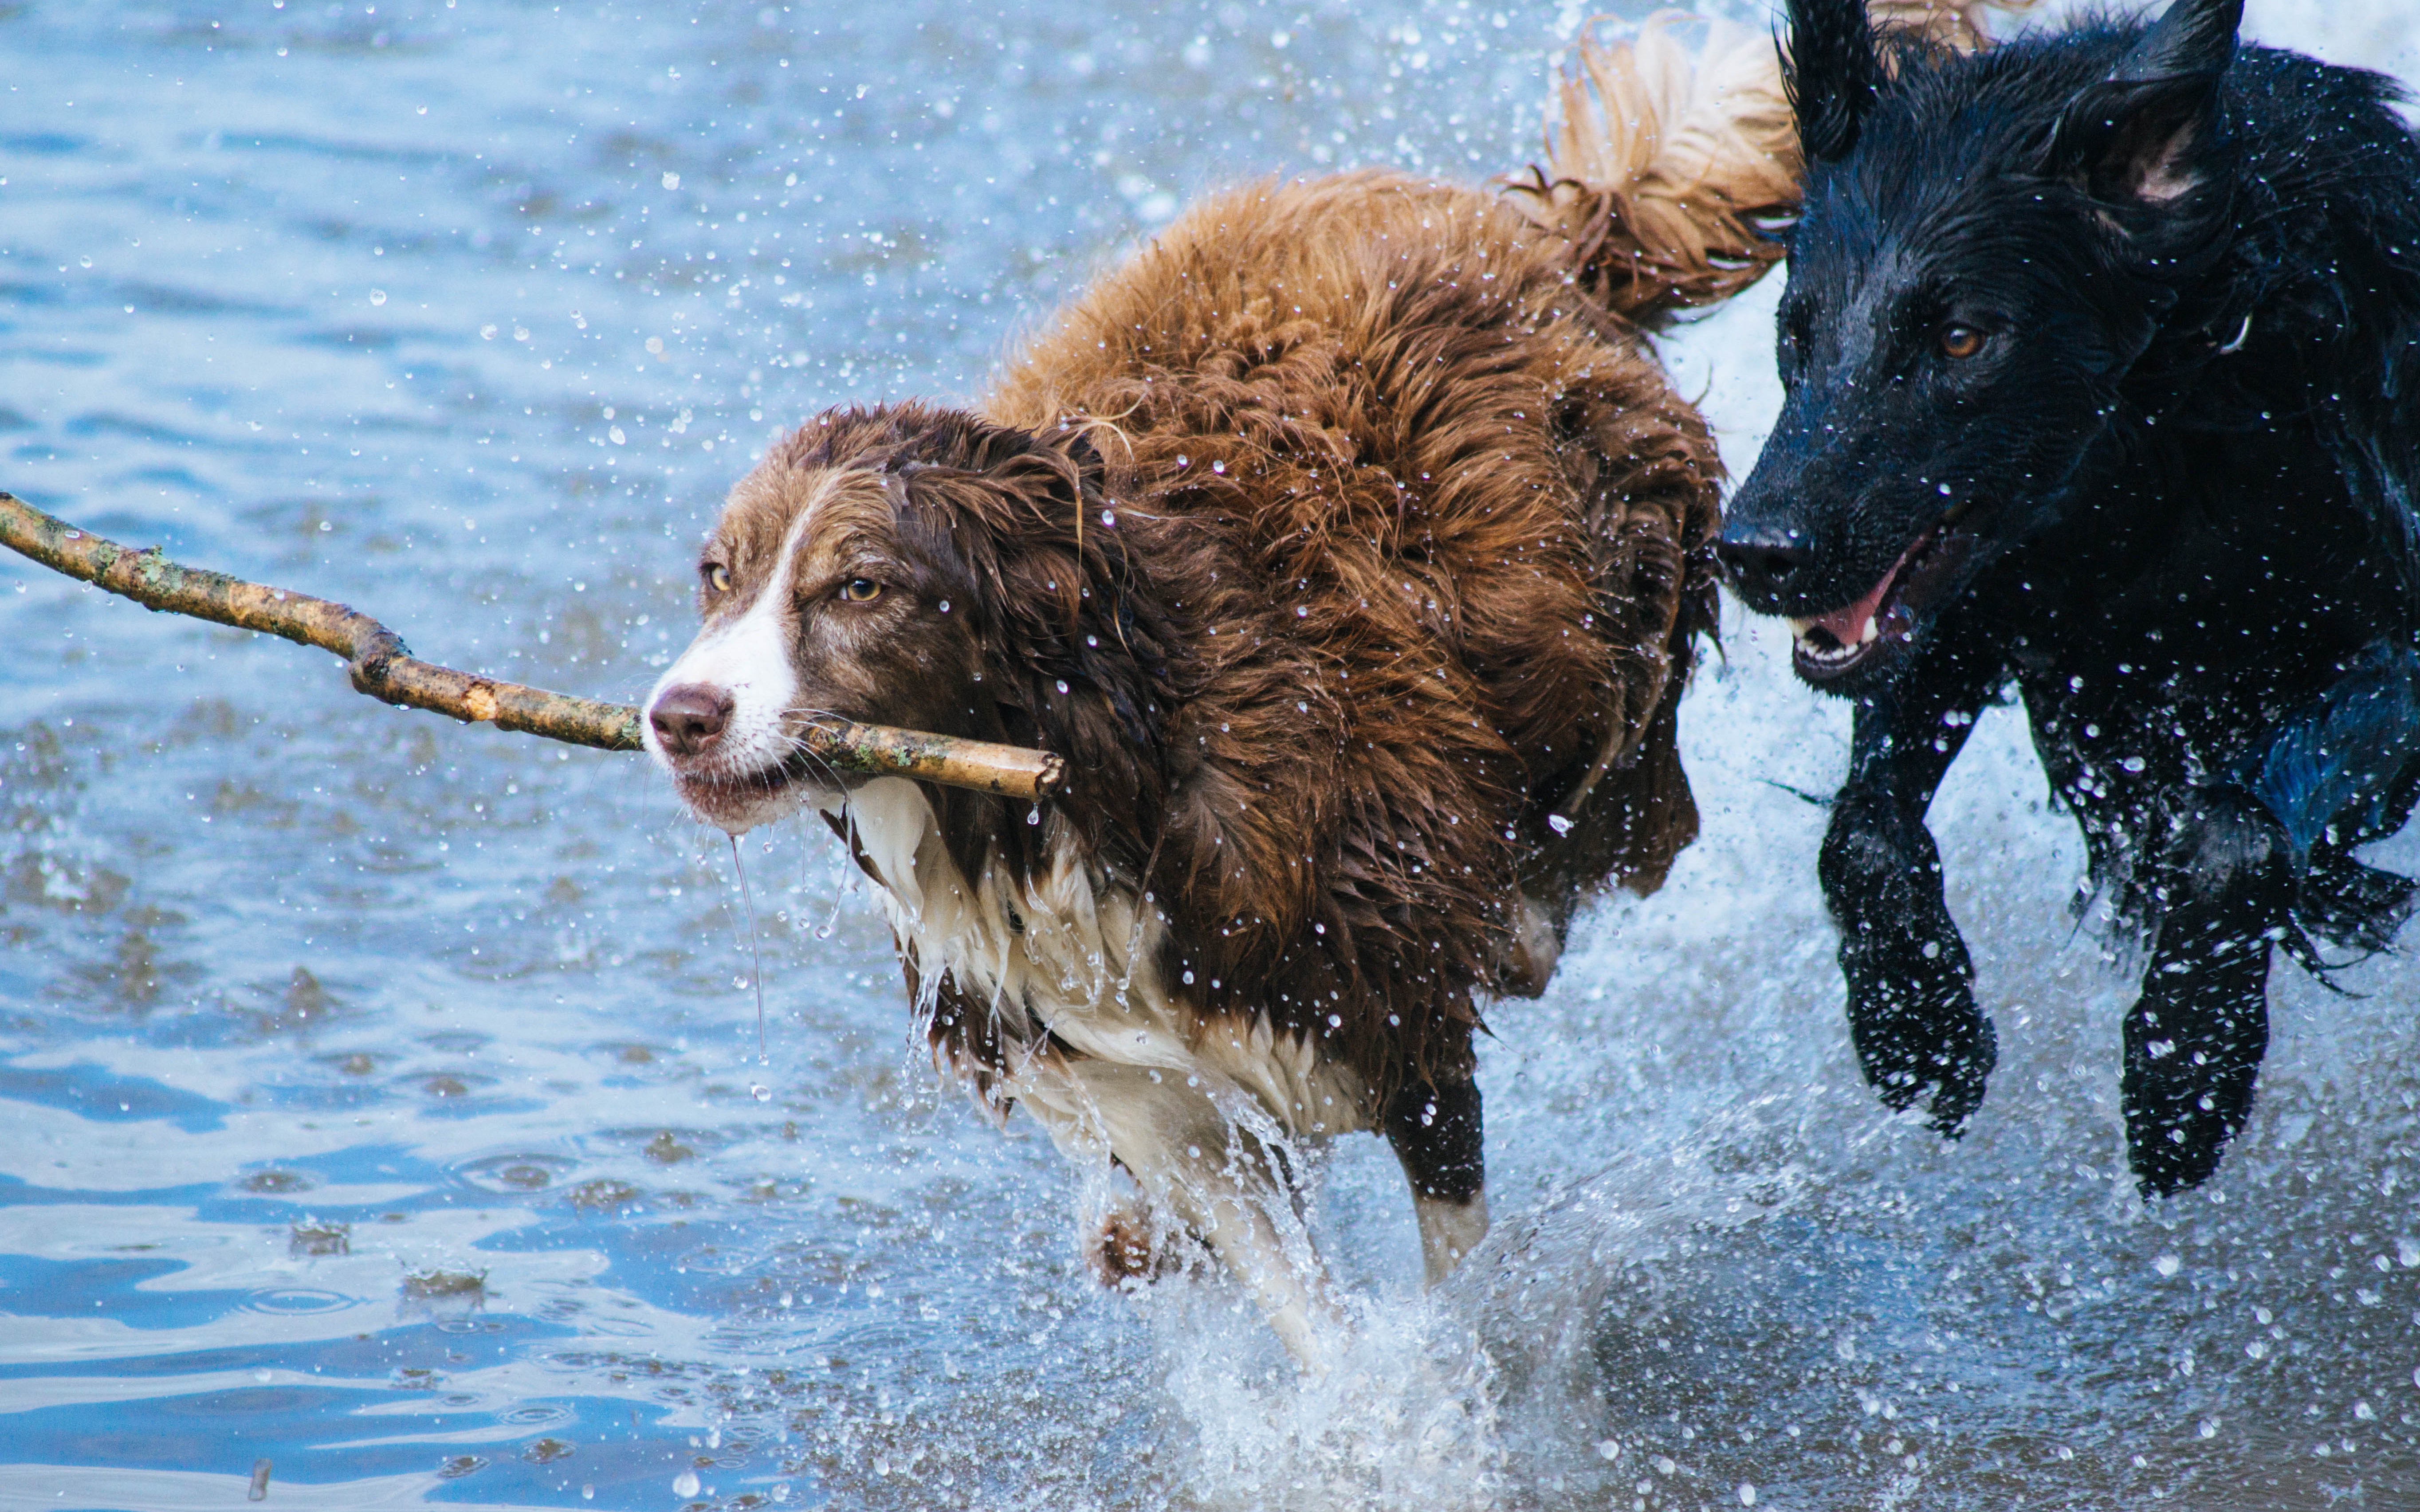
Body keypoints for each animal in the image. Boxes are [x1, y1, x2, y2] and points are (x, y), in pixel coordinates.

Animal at [1723, 0, 2420, 1190]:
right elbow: (1860, 833)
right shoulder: (1978, 603)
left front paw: (2185, 1068)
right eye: (1796, 328)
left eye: (1960, 337)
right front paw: (1919, 1031)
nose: (1755, 551)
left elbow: (2234, 832)